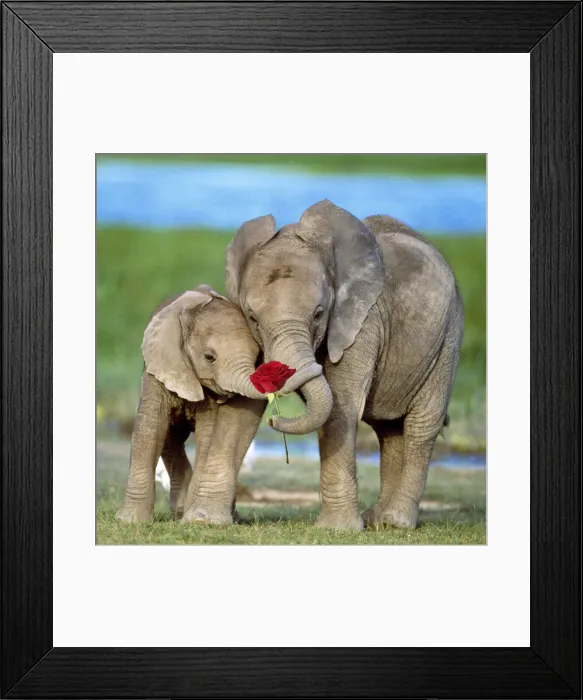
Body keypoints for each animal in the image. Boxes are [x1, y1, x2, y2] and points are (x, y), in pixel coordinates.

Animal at [115, 285, 267, 525]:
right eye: (209, 357)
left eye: (256, 357)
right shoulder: (158, 369)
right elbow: (150, 427)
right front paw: (129, 521)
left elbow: (207, 434)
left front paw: (195, 518)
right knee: (170, 437)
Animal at [225, 200, 464, 531]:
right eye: (253, 318)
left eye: (319, 314)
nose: (274, 421)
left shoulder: (362, 321)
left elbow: (340, 406)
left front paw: (336, 529)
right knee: (390, 430)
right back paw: (378, 520)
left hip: (447, 338)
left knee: (422, 424)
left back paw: (397, 522)